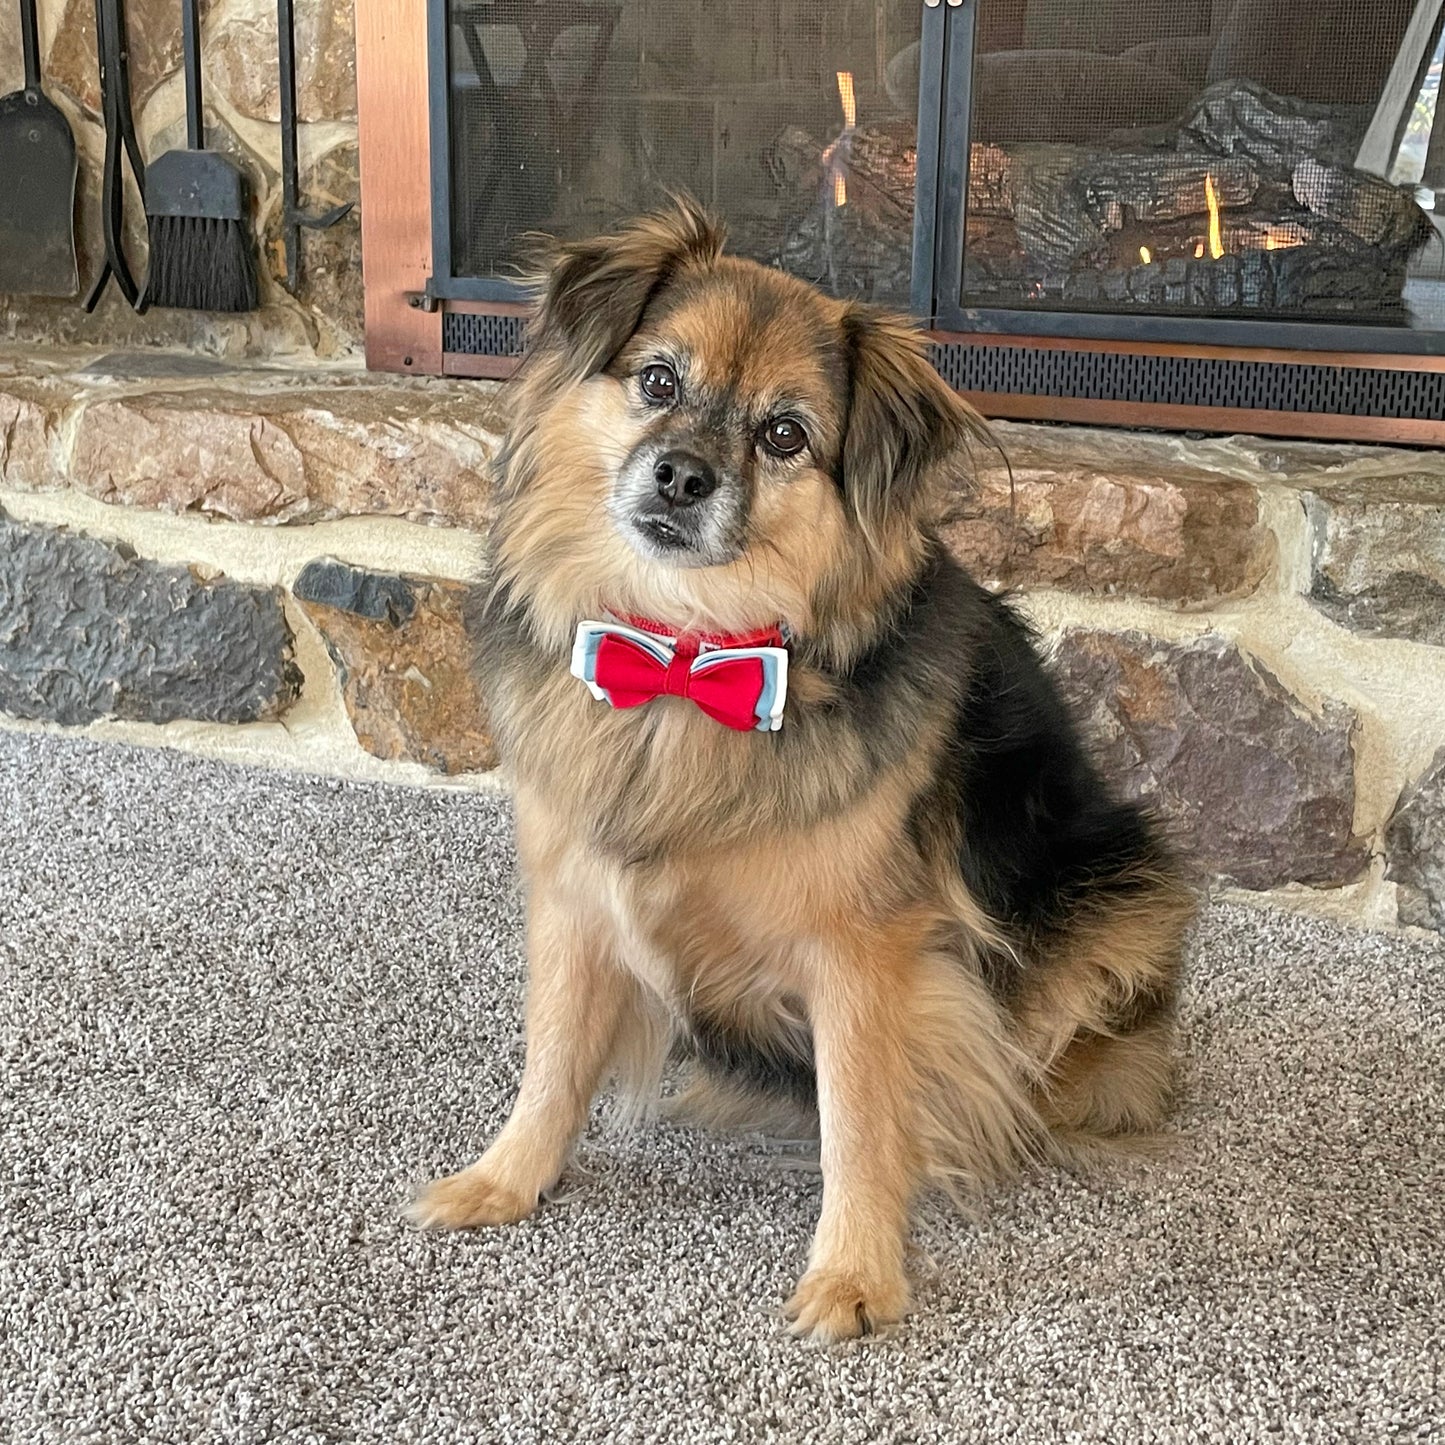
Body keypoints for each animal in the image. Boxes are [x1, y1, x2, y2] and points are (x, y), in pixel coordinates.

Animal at [410, 200, 1196, 1340]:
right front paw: (506, 1179)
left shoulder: (863, 954)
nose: (680, 475)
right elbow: (552, 1056)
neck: (687, 659)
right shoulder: (573, 900)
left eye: (784, 433)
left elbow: (859, 1121)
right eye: (657, 380)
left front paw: (856, 1273)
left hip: (1123, 885)